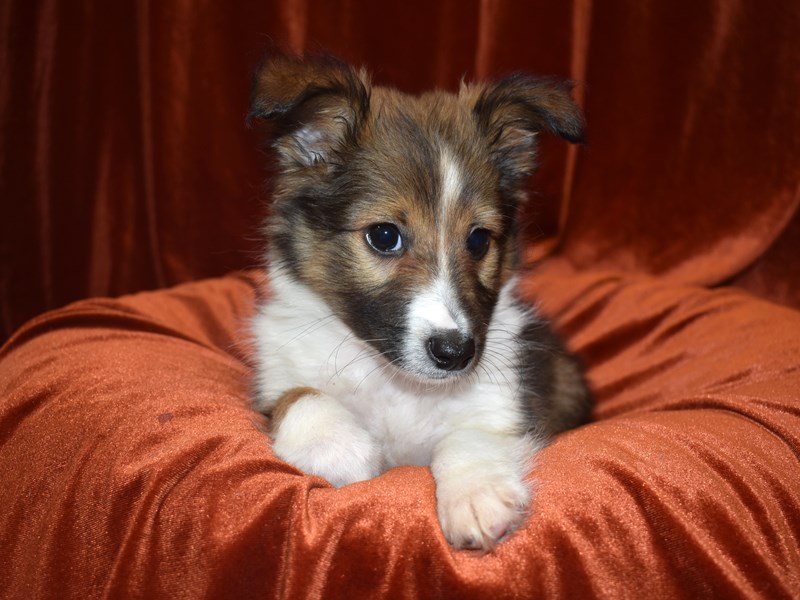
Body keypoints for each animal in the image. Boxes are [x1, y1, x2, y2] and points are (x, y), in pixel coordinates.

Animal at [250, 54, 592, 552]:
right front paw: (335, 448)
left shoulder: (503, 404)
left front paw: (477, 495)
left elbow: (469, 437)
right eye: (384, 235)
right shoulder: (275, 374)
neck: (397, 382)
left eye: (478, 239)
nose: (455, 354)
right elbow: (298, 394)